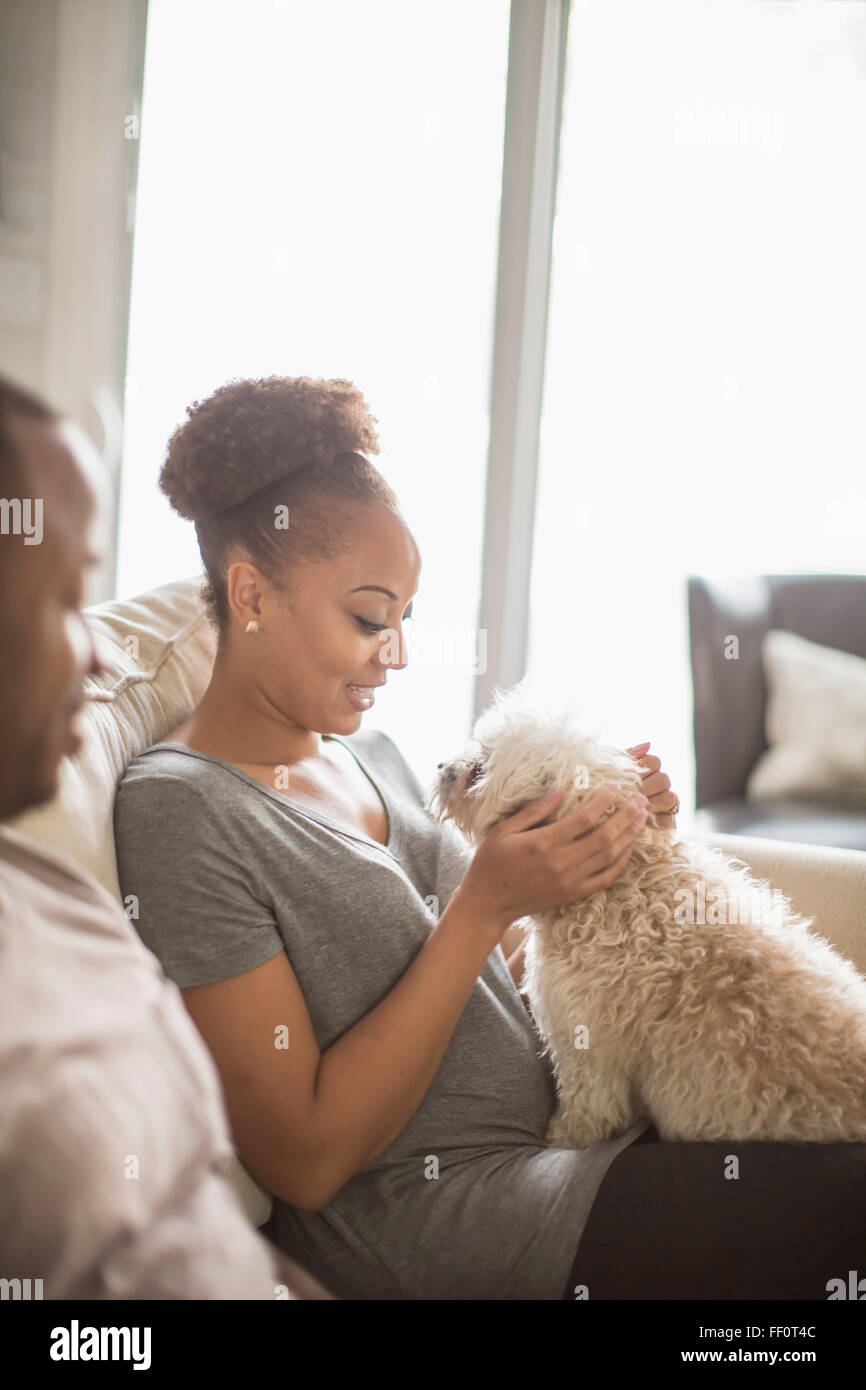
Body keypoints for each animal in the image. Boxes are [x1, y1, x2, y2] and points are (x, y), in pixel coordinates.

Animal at [430, 689, 866, 1145]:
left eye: (478, 769)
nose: (440, 766)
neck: (624, 889)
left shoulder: (586, 1047)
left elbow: (590, 1109)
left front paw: (563, 1137)